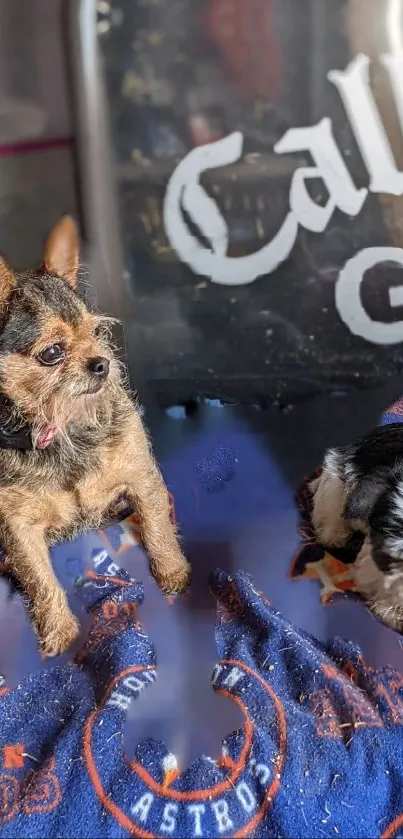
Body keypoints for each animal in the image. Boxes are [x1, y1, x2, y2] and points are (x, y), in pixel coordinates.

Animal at [0, 217, 190, 656]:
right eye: (52, 353)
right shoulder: (18, 528)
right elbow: (40, 580)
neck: (61, 429)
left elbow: (157, 527)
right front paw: (59, 633)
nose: (101, 363)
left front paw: (173, 572)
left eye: (95, 331)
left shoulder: (140, 478)